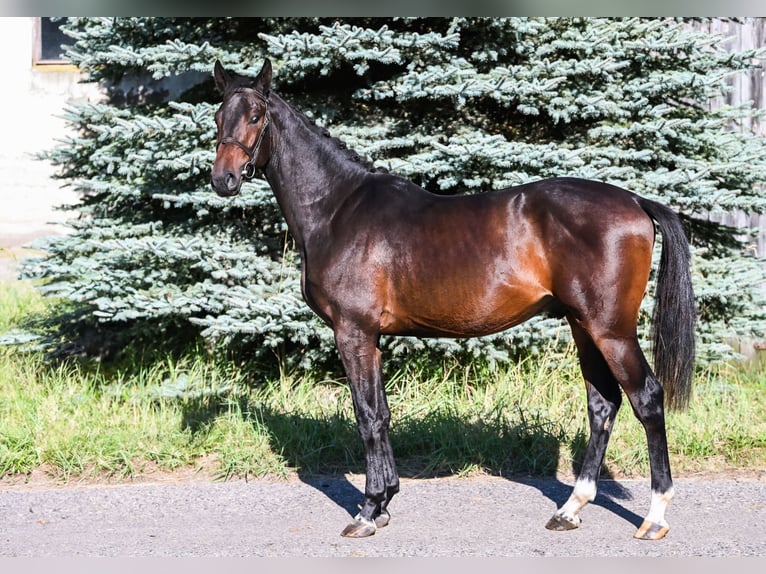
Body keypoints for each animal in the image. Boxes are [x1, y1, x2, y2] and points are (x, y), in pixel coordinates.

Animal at [208, 60, 696, 544]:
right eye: (217, 116)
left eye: (255, 116)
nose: (222, 179)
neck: (337, 209)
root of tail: (634, 200)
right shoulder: (371, 338)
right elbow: (382, 413)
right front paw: (384, 502)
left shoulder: (354, 332)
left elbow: (367, 416)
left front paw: (367, 511)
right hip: (583, 325)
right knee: (603, 405)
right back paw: (570, 509)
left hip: (611, 330)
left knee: (647, 399)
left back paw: (655, 517)